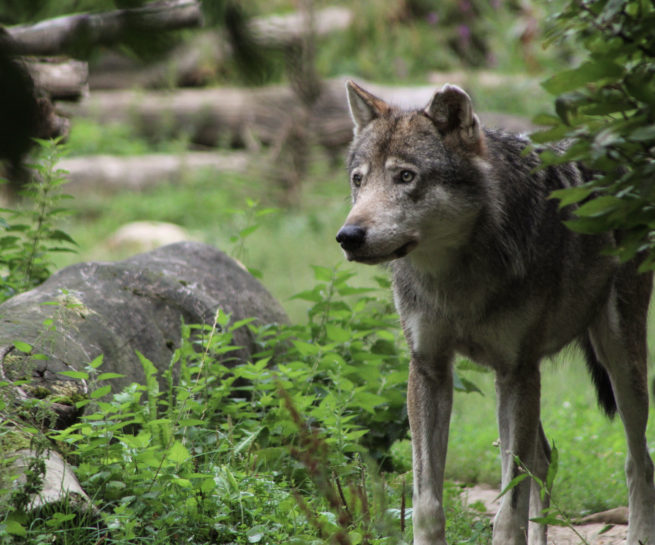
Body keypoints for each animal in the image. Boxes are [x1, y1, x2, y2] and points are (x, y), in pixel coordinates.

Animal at [336, 80, 655, 545]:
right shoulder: (430, 369)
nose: (348, 236)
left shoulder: (515, 371)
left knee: (638, 461)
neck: (458, 280)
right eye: (359, 180)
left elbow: (509, 510)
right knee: (544, 459)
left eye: (406, 176)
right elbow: (427, 504)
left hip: (618, 363)